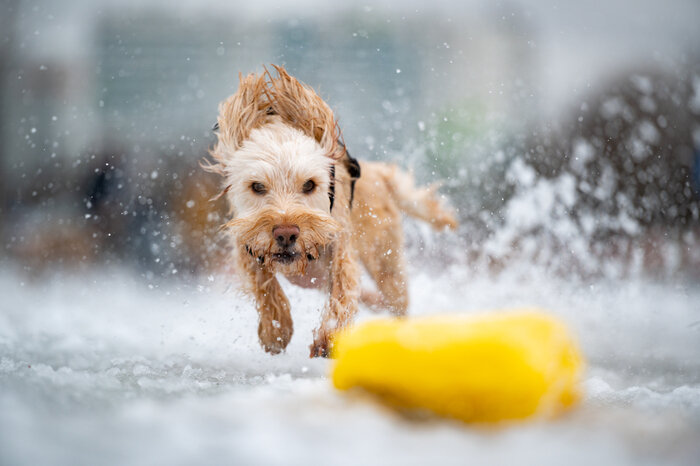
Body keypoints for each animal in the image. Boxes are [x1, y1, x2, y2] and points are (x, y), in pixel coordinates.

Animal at [206, 64, 460, 356]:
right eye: (257, 186)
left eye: (309, 184)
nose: (286, 233)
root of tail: (378, 173)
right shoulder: (246, 243)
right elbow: (264, 285)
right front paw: (276, 328)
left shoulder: (340, 243)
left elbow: (342, 286)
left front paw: (328, 336)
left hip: (384, 261)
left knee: (395, 300)